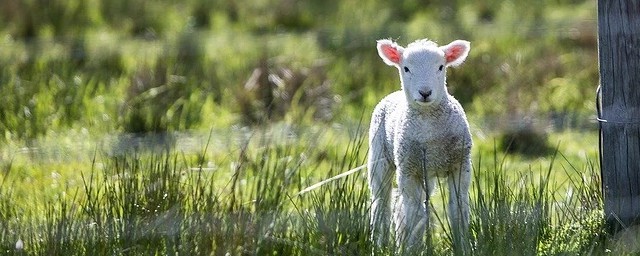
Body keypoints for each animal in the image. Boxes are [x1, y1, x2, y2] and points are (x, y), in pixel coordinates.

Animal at [368, 38, 472, 252]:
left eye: (441, 67)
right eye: (406, 68)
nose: (425, 93)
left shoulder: (460, 165)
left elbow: (458, 210)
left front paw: (462, 247)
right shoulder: (409, 170)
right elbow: (415, 215)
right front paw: (413, 248)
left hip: (426, 173)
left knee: (401, 206)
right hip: (379, 158)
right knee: (381, 204)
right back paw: (379, 245)